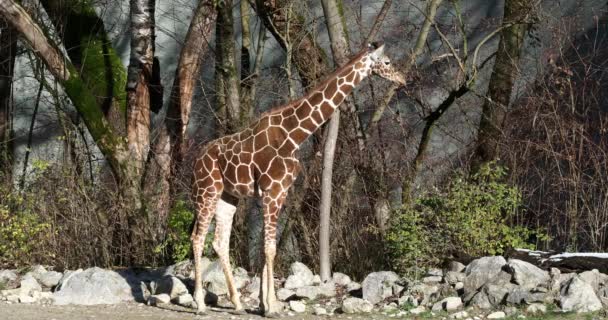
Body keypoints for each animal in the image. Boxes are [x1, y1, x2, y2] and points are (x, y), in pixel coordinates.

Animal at [191, 42, 404, 316]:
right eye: (387, 62)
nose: (402, 79)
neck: (294, 136)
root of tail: (196, 160)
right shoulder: (272, 191)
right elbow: (270, 248)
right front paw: (271, 306)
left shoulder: (279, 192)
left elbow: (266, 247)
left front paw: (265, 304)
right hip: (206, 191)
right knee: (197, 238)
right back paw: (199, 304)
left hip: (228, 196)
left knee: (219, 242)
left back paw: (237, 303)